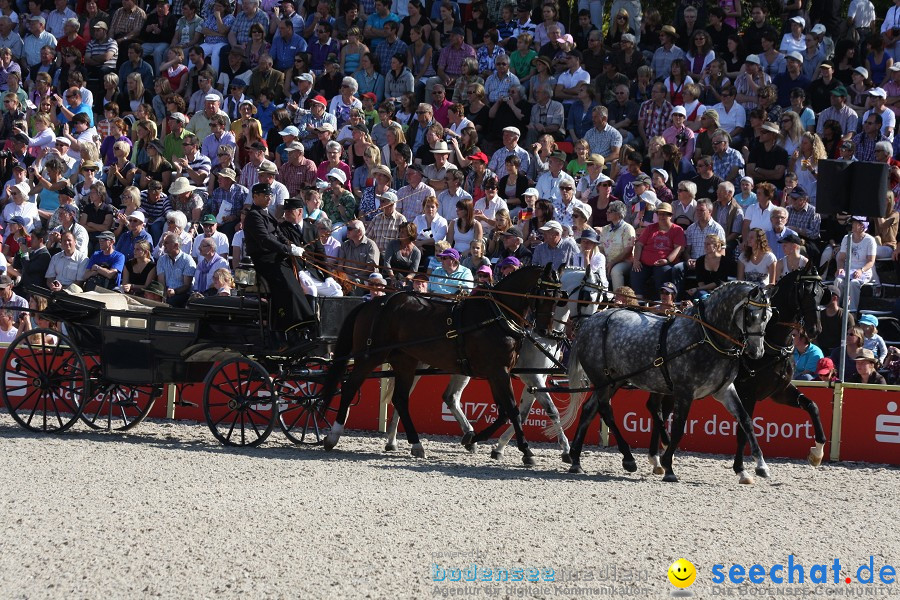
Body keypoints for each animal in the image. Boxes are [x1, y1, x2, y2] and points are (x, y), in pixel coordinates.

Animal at [318, 264, 564, 466]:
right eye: (545, 293)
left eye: (560, 297)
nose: (545, 330)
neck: (496, 316)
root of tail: (374, 303)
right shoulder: (499, 372)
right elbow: (512, 410)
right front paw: (526, 451)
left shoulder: (498, 373)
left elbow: (506, 412)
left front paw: (474, 438)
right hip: (370, 357)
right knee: (350, 387)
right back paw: (333, 436)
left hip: (405, 361)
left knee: (400, 399)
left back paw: (416, 444)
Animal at [560, 282, 768, 482]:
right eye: (751, 316)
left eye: (768, 317)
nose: (757, 352)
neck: (705, 337)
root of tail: (589, 322)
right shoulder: (684, 391)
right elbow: (678, 428)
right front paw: (668, 466)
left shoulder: (724, 390)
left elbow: (745, 421)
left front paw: (754, 467)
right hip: (602, 379)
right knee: (605, 410)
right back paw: (628, 458)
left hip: (613, 381)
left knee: (590, 409)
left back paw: (576, 461)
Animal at [648, 262, 828, 482]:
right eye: (804, 291)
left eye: (822, 293)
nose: (815, 329)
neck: (772, 345)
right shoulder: (747, 393)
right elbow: (743, 431)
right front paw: (743, 467)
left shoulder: (779, 391)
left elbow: (812, 406)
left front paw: (817, 453)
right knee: (655, 409)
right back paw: (661, 454)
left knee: (659, 411)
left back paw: (657, 459)